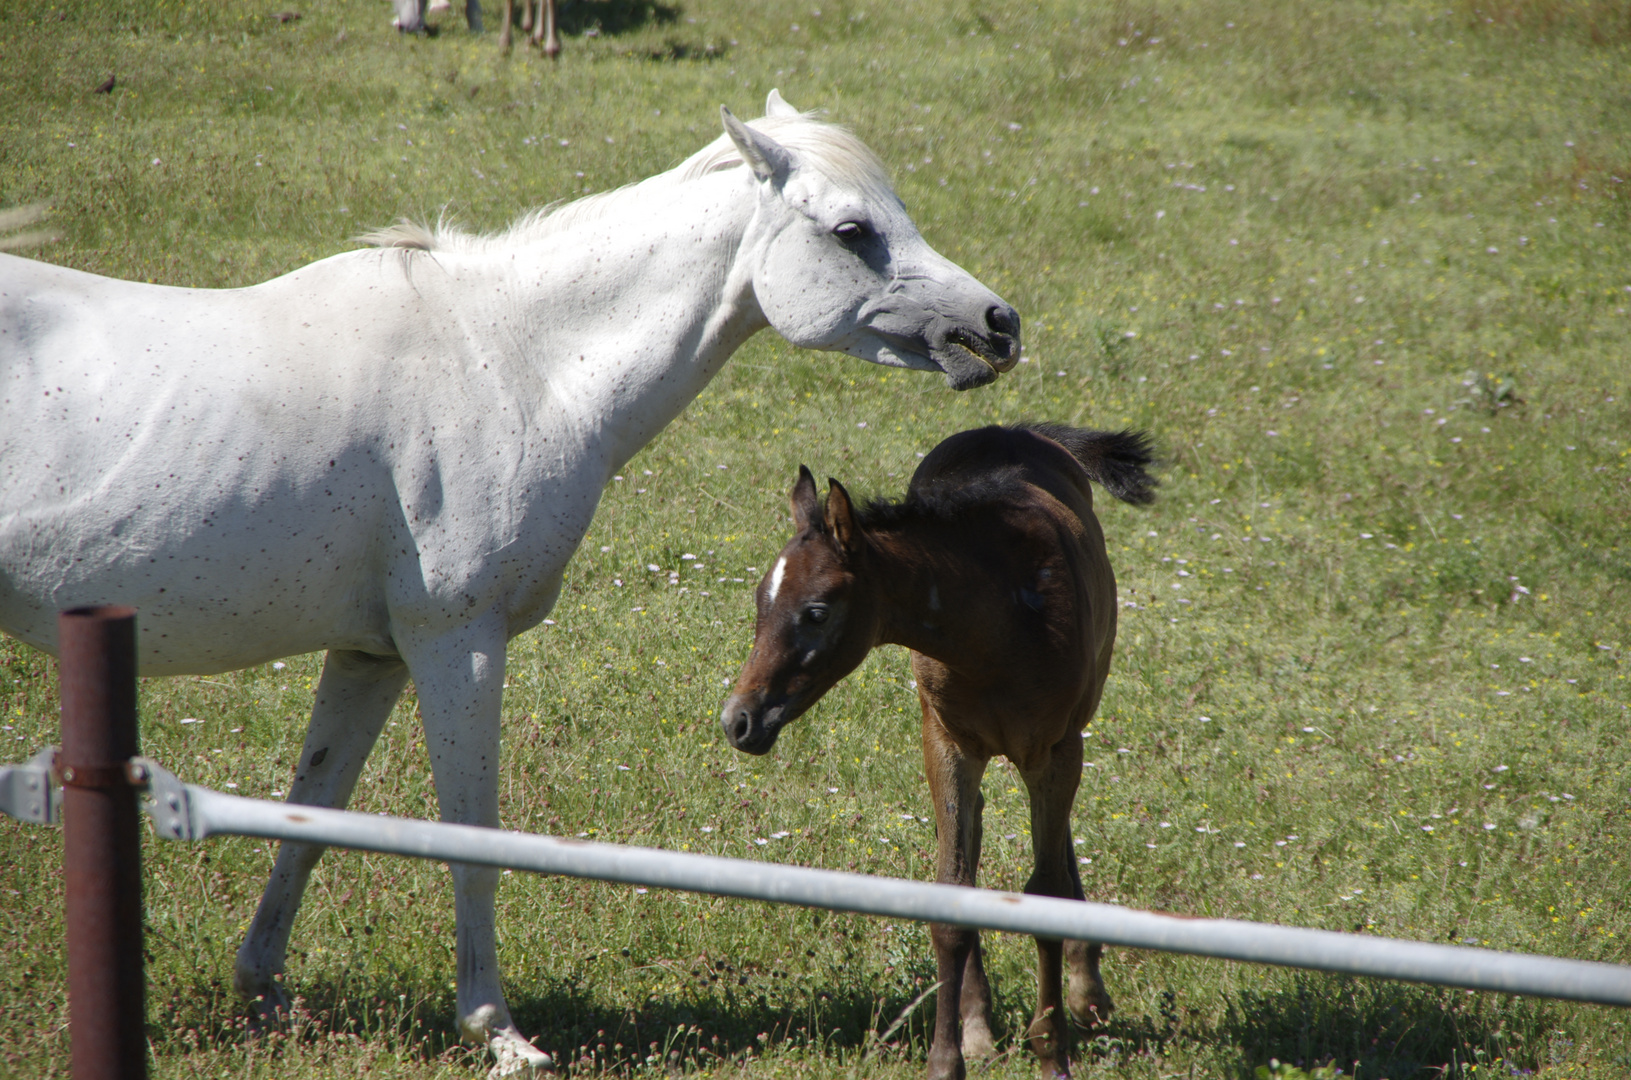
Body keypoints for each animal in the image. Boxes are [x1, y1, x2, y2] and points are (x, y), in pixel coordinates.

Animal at [0, 92, 1011, 1076]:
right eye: (851, 230)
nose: (997, 325)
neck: (516, 362)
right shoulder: (458, 644)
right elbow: (472, 838)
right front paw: (497, 1032)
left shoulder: (370, 657)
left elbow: (312, 814)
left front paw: (265, 992)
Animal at [720, 424, 1154, 1080]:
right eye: (758, 602)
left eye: (816, 611)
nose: (738, 720)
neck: (1000, 624)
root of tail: (1019, 428)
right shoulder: (947, 745)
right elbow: (952, 895)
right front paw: (950, 1057)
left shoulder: (1055, 750)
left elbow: (1046, 894)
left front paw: (1051, 1051)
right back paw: (982, 1026)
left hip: (1069, 736)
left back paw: (1086, 992)